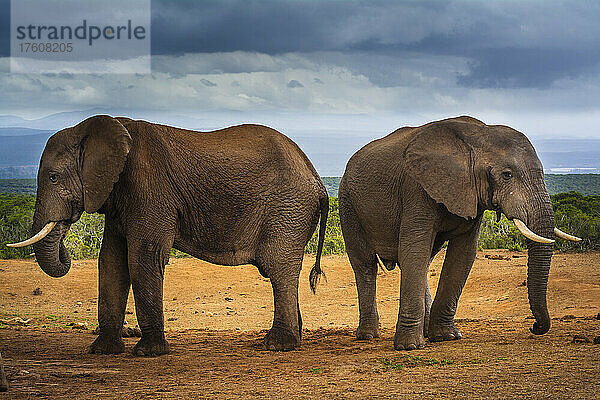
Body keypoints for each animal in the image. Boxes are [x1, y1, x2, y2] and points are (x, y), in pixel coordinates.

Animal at [8, 115, 328, 354]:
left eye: (53, 177)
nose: (64, 241)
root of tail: (317, 179)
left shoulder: (149, 188)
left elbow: (142, 257)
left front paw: (148, 351)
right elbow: (111, 262)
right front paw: (103, 351)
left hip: (288, 210)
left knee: (278, 268)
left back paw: (278, 345)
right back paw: (291, 338)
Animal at [340, 115, 580, 350]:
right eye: (507, 175)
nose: (534, 327)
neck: (479, 135)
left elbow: (463, 254)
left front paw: (446, 337)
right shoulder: (416, 187)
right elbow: (414, 250)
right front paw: (410, 347)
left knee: (424, 261)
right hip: (348, 203)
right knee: (365, 264)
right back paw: (368, 335)